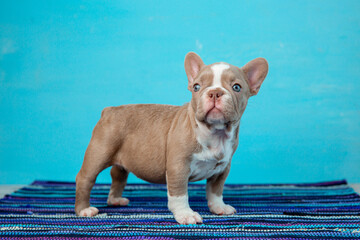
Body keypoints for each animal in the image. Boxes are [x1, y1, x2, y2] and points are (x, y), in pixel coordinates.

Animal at [75, 51, 268, 224]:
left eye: (237, 87)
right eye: (196, 87)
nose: (214, 92)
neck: (213, 132)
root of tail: (109, 110)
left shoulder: (222, 168)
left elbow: (215, 190)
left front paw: (218, 207)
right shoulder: (178, 168)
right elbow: (179, 194)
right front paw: (186, 215)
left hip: (121, 159)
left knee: (118, 175)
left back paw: (115, 200)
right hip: (100, 152)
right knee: (85, 178)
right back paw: (84, 209)